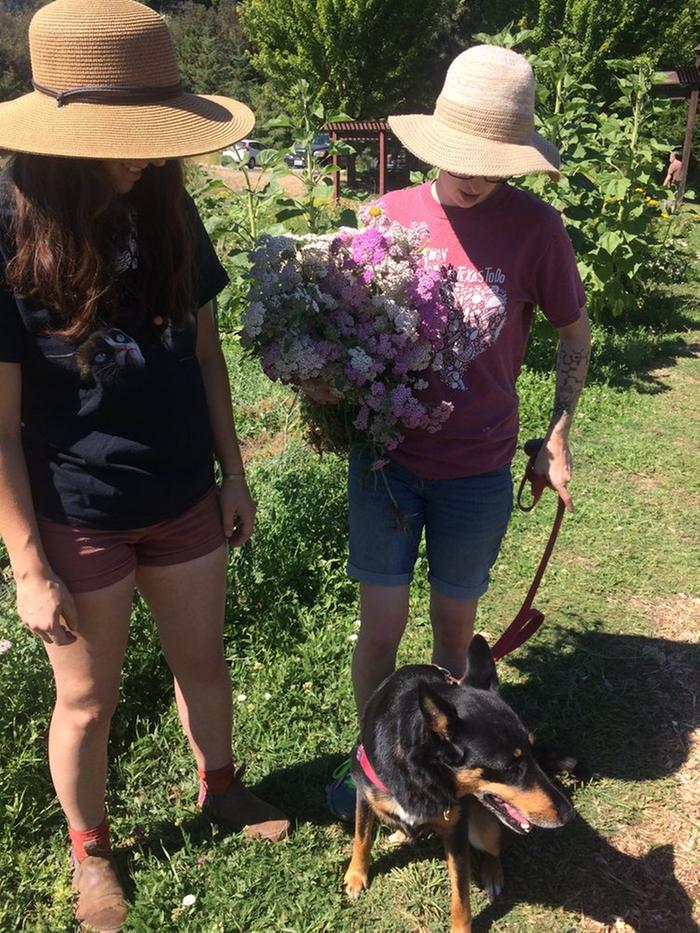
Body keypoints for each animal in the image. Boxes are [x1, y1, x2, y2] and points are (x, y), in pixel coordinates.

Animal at [342, 632, 576, 932]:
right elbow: (362, 837)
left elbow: (461, 896)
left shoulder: (456, 832)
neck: (423, 774)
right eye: (509, 767)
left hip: (482, 827)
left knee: (495, 848)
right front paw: (356, 876)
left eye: (531, 752)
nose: (569, 814)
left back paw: (492, 874)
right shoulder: (364, 794)